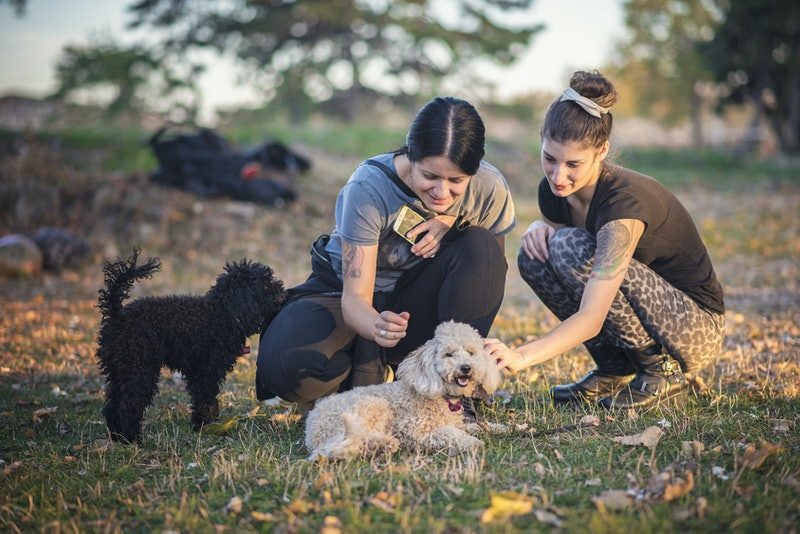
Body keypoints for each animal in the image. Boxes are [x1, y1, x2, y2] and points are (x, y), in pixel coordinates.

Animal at [95, 250, 286, 444]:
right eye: (265, 287)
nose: (282, 295)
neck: (222, 314)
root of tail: (119, 314)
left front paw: (207, 424)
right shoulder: (204, 371)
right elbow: (205, 400)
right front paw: (205, 426)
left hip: (118, 369)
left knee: (112, 406)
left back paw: (117, 437)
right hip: (138, 368)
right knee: (129, 405)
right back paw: (132, 439)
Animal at [304, 322, 500, 460]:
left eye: (471, 353)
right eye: (448, 354)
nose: (466, 367)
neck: (442, 397)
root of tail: (312, 427)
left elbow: (472, 426)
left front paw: (495, 428)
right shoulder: (414, 428)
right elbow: (447, 433)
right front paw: (471, 441)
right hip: (373, 406)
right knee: (353, 442)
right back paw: (382, 444)